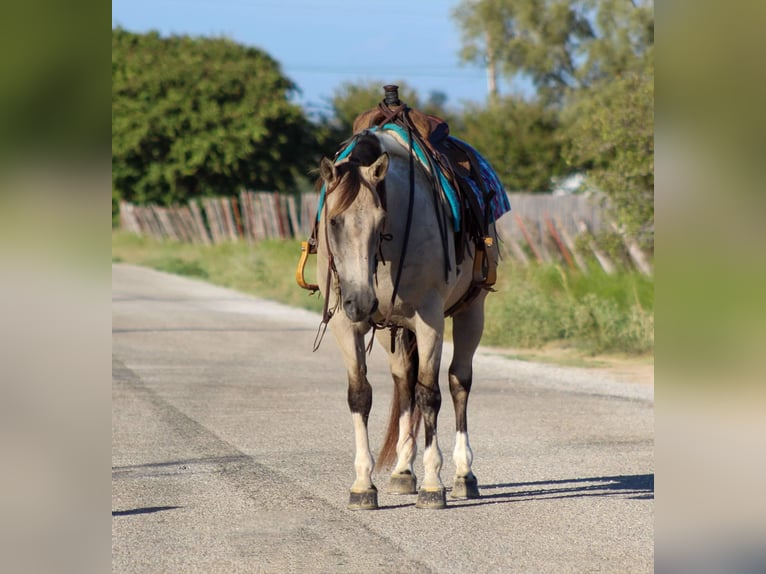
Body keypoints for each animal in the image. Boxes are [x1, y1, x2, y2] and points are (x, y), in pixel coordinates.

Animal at [314, 127, 501, 510]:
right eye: (334, 221)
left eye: (380, 221)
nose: (361, 301)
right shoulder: (345, 324)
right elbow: (360, 395)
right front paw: (363, 484)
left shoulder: (430, 321)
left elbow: (430, 395)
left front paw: (432, 483)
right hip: (396, 331)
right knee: (404, 383)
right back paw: (402, 471)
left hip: (471, 312)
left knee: (458, 382)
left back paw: (463, 474)